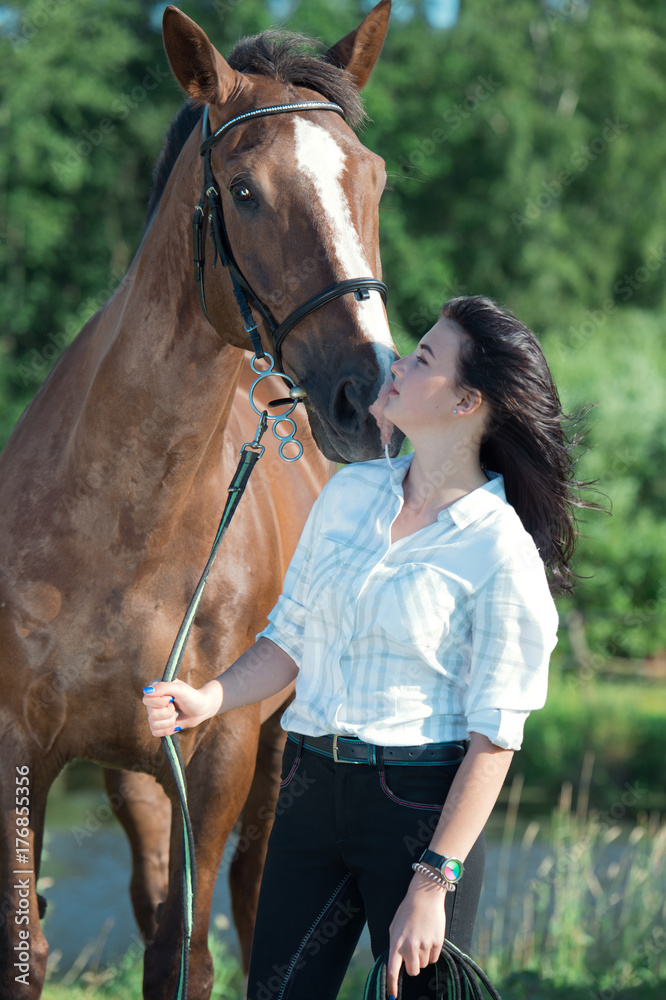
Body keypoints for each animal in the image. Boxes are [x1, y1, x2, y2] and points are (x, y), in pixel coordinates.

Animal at [0, 2, 403, 997]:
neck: (122, 532)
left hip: (274, 762)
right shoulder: (18, 748)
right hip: (140, 778)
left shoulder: (219, 755)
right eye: (245, 191)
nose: (368, 396)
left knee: (256, 915)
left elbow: (187, 958)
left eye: (373, 179)